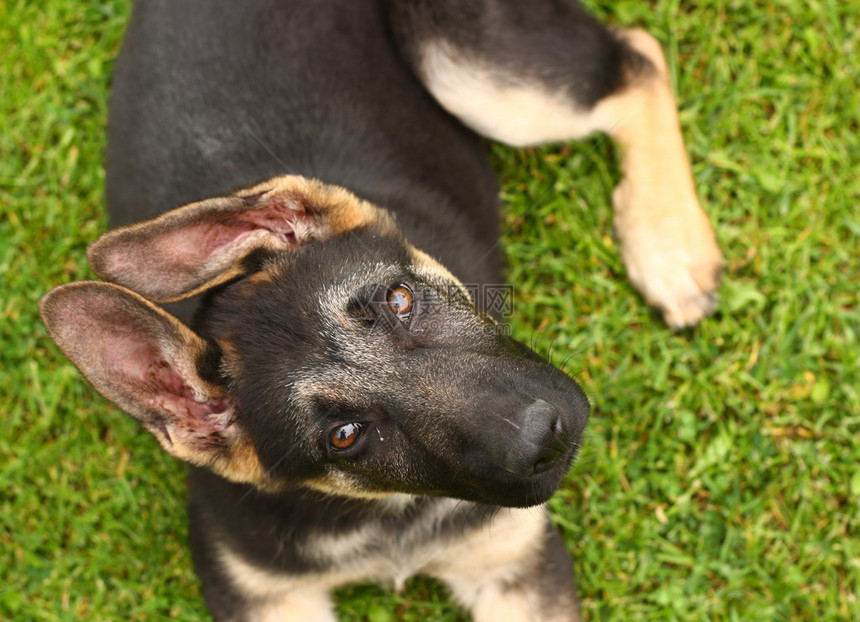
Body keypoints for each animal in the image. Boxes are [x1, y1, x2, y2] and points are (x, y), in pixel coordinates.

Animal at [40, 2, 724, 620]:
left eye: (400, 299)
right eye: (345, 436)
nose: (549, 436)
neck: (390, 510)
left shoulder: (514, 565)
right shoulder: (263, 595)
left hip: (465, 69)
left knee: (636, 58)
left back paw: (669, 246)